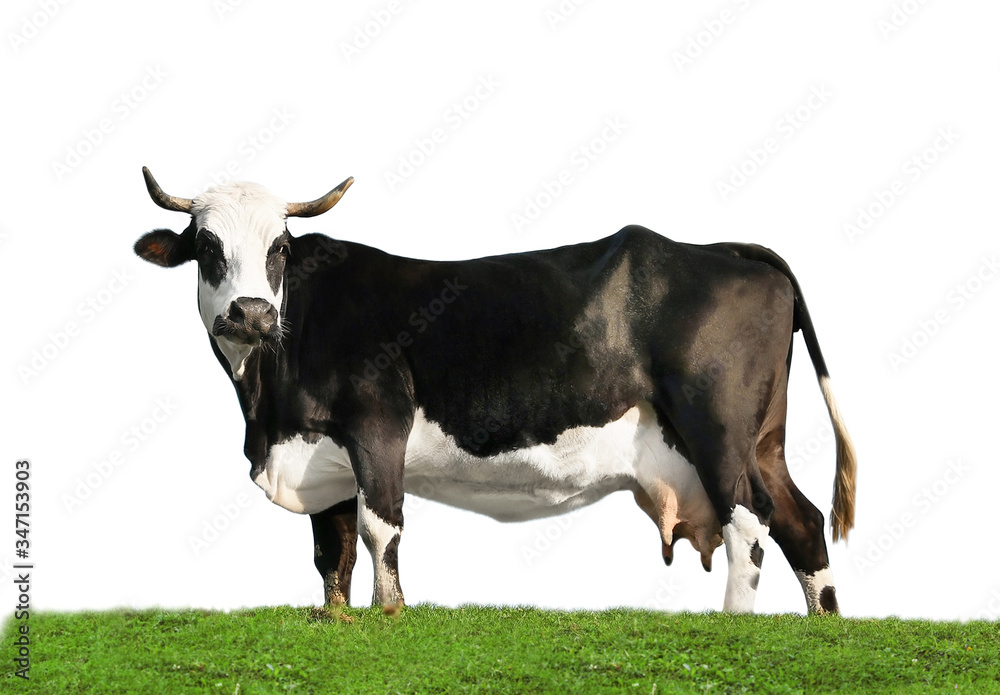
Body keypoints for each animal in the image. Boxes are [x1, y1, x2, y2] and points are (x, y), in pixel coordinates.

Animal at [133, 169, 856, 616]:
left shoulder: (378, 421)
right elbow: (329, 554)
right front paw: (338, 619)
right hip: (763, 439)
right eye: (206, 245)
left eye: (280, 247)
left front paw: (391, 613)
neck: (266, 401)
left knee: (750, 521)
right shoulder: (318, 453)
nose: (252, 313)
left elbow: (379, 526)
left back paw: (736, 622)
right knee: (801, 520)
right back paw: (824, 626)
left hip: (718, 426)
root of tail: (722, 249)